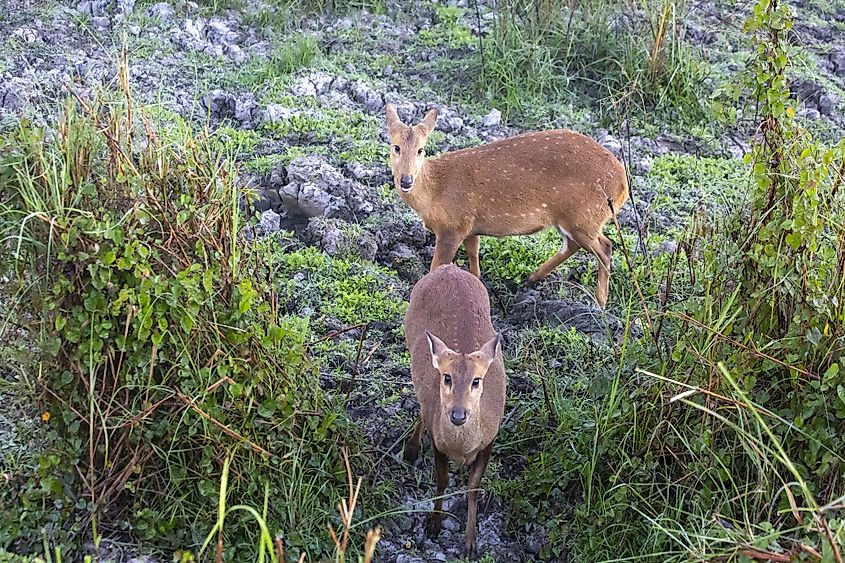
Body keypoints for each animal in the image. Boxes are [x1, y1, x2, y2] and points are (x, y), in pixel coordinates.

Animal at [386, 103, 628, 310]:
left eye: (421, 150)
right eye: (396, 147)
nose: (406, 180)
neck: (435, 191)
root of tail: (622, 185)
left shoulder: (452, 226)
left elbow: (436, 267)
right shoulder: (470, 226)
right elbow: (474, 255)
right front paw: (477, 284)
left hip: (583, 215)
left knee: (605, 247)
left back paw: (600, 302)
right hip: (572, 219)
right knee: (574, 244)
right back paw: (531, 278)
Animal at [400, 264, 502, 560]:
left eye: (477, 380)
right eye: (446, 377)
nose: (458, 415)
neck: (462, 448)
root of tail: (449, 268)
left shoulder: (490, 440)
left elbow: (473, 488)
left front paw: (470, 543)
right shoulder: (438, 442)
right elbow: (442, 481)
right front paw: (433, 525)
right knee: (421, 404)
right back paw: (410, 450)